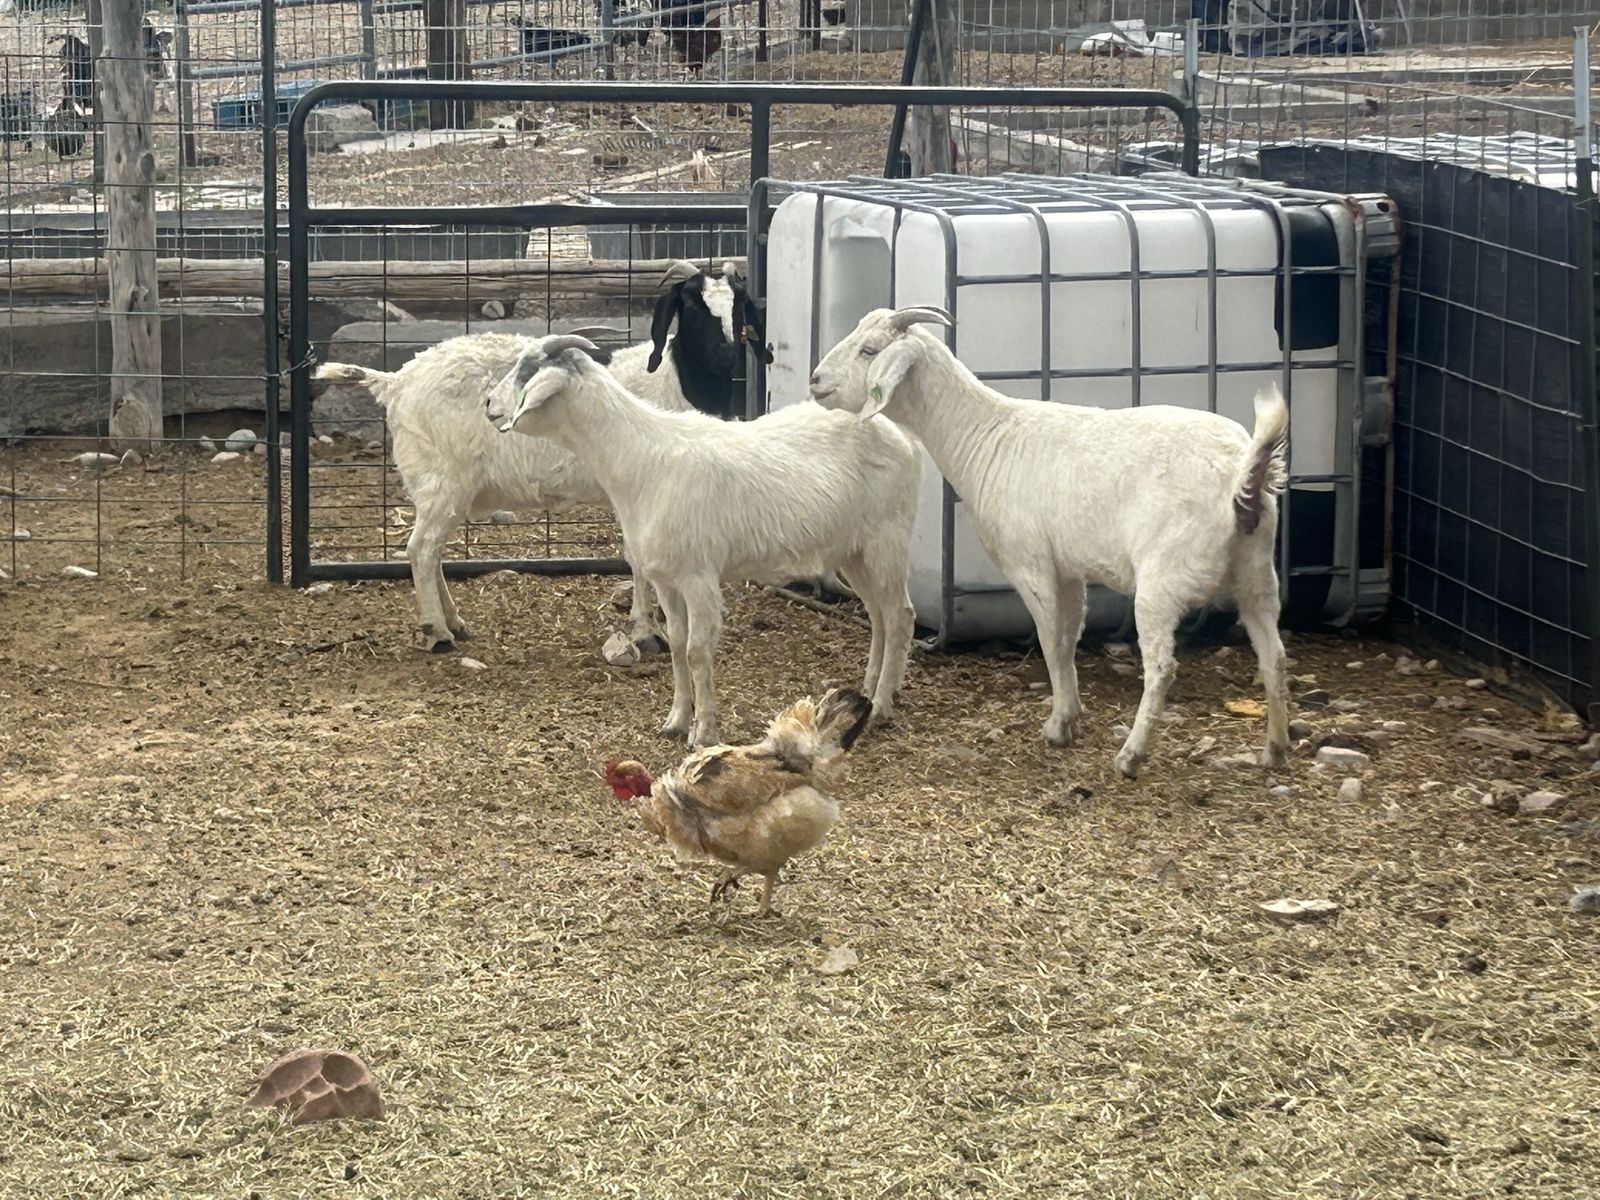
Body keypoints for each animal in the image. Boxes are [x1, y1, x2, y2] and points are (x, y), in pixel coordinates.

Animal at [487, 336, 920, 749]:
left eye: (527, 372)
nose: (489, 404)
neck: (641, 460)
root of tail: (900, 434)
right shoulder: (665, 578)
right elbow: (678, 644)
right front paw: (676, 720)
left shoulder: (698, 576)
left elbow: (697, 651)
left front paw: (703, 732)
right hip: (855, 550)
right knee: (879, 615)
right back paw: (869, 689)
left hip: (888, 538)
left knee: (900, 614)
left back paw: (881, 705)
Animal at [807, 307, 1292, 779]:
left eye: (870, 350)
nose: (815, 381)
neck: (985, 435)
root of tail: (1242, 475)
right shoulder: (1069, 570)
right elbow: (1069, 637)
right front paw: (1072, 715)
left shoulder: (1031, 564)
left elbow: (1050, 640)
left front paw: (1058, 725)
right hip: (1257, 573)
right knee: (1274, 656)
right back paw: (1274, 749)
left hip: (1165, 578)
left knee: (1162, 667)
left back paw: (1131, 755)